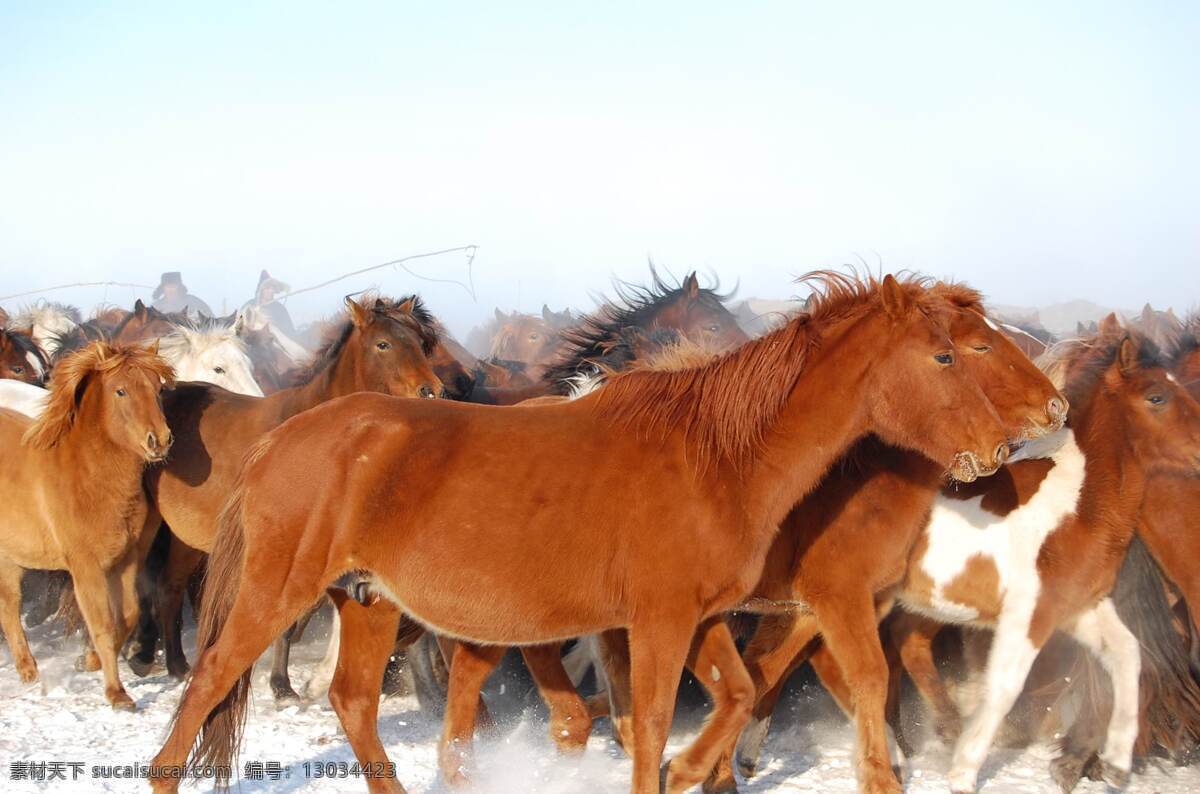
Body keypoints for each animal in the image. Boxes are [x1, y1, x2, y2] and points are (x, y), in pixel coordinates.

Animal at [0, 341, 173, 709]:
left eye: (158, 388)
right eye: (121, 390)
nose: (159, 440)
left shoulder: (125, 562)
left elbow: (128, 615)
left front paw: (88, 661)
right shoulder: (85, 568)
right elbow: (103, 624)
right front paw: (117, 694)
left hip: (9, 558)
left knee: (9, 607)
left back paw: (28, 670)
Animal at [130, 295, 444, 681]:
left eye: (420, 343)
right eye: (383, 344)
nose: (430, 391)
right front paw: (291, 682)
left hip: (185, 535)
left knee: (169, 586)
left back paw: (176, 664)